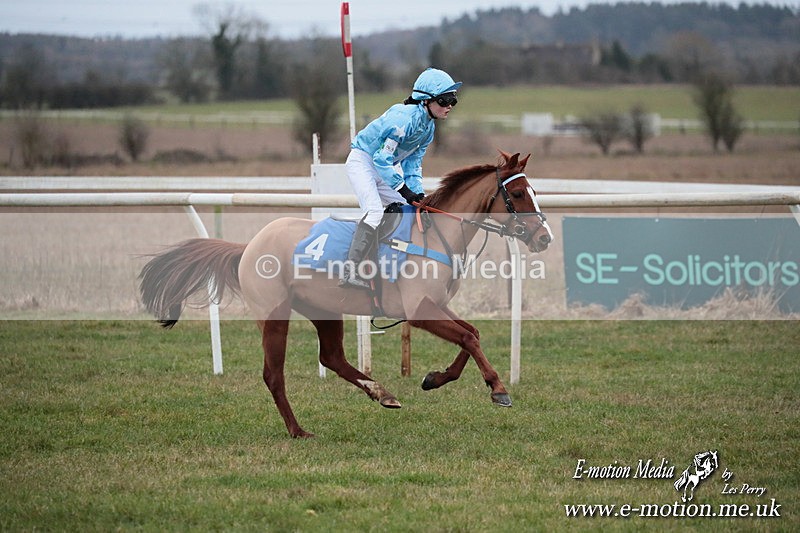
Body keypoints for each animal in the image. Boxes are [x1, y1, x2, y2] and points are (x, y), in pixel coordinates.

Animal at [139, 151, 553, 438]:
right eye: (519, 192)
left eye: (534, 191)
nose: (544, 237)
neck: (434, 235)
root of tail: (248, 247)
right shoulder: (419, 310)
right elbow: (468, 337)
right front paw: (498, 388)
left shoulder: (436, 305)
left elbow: (472, 334)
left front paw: (435, 378)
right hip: (274, 315)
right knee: (274, 374)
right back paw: (298, 430)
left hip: (324, 310)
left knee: (333, 357)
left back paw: (382, 393)